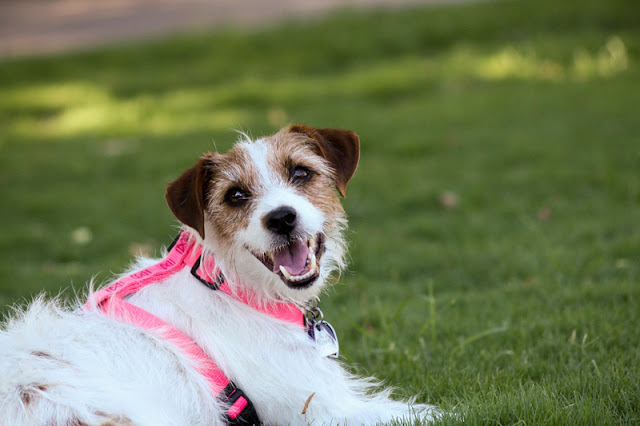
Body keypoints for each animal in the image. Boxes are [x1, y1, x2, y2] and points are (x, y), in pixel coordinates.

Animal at [0, 125, 440, 424]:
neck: (233, 286)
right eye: (236, 195)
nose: (282, 218)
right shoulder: (326, 409)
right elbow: (432, 412)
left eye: (300, 173)